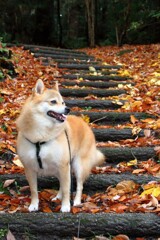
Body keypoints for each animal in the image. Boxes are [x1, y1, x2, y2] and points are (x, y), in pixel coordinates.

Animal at [16, 79, 105, 213]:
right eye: (53, 101)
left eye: (63, 102)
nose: (67, 109)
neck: (41, 135)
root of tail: (84, 122)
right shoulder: (30, 168)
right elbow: (34, 190)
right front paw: (34, 205)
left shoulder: (63, 165)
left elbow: (67, 189)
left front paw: (66, 206)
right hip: (59, 168)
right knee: (62, 185)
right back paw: (58, 197)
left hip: (78, 165)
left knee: (79, 185)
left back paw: (76, 201)